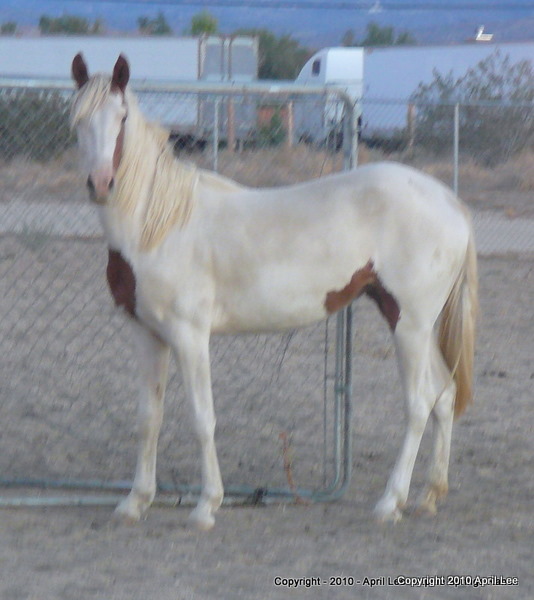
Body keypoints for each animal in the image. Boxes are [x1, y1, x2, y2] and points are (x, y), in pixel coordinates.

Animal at [69, 54, 480, 528]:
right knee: (443, 395)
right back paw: (429, 495)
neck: (159, 226)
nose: (101, 184)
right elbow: (148, 418)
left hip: (409, 326)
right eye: (78, 120)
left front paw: (206, 505)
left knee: (418, 404)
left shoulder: (190, 336)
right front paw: (135, 501)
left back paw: (389, 502)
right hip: (409, 320)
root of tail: (451, 203)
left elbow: (202, 419)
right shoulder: (147, 334)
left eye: (121, 118)